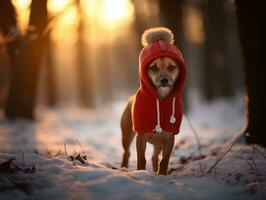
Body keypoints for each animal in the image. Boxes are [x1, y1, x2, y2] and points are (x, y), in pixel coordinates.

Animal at [120, 27, 187, 175]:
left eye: (172, 67)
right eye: (153, 68)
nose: (164, 80)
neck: (160, 99)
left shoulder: (169, 138)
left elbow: (164, 160)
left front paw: (162, 174)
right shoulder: (140, 136)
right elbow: (141, 159)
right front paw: (140, 172)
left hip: (159, 142)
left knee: (154, 157)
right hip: (127, 135)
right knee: (127, 153)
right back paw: (123, 167)